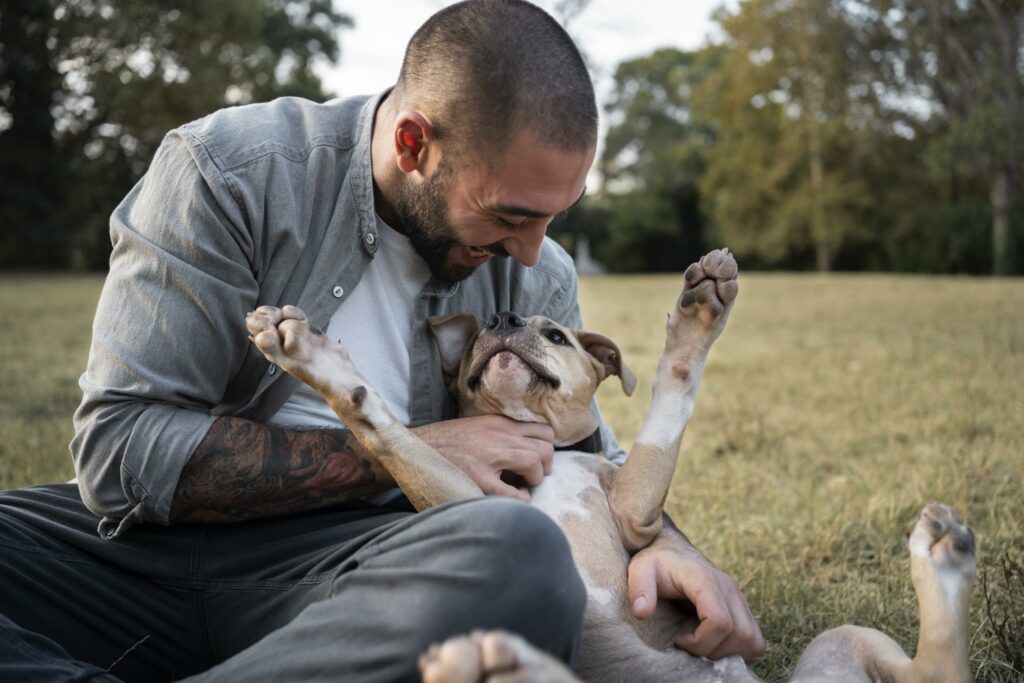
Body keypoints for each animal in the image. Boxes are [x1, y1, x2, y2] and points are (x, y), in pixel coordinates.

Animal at [245, 250, 974, 683]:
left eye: (557, 334)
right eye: (480, 336)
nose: (503, 317)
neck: (549, 454)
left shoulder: (634, 510)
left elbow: (666, 407)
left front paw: (697, 317)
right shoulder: (461, 494)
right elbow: (389, 431)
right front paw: (313, 357)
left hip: (847, 638)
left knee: (936, 671)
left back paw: (941, 554)